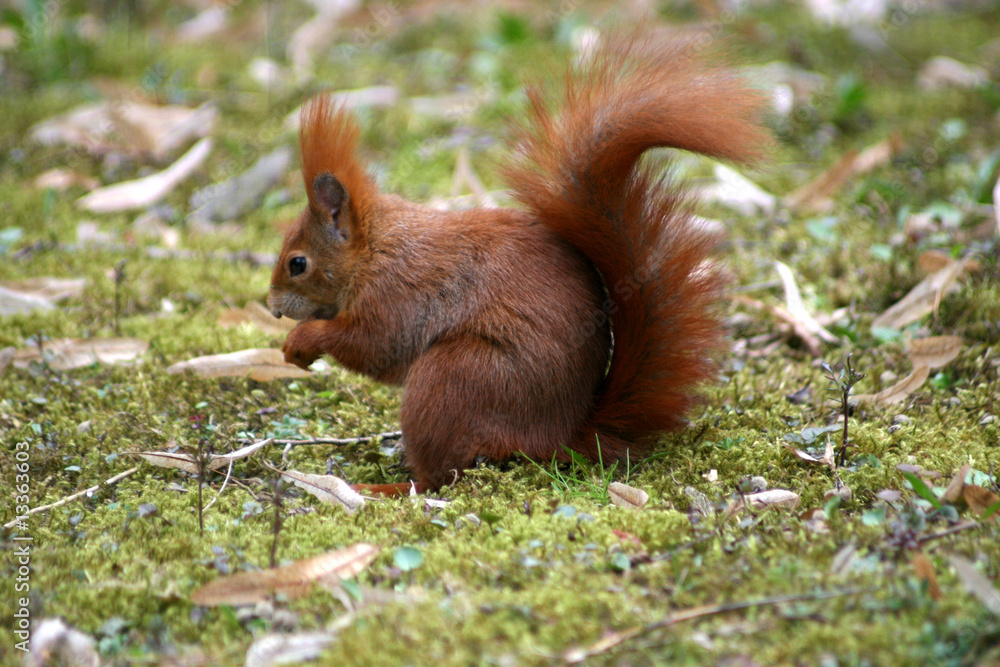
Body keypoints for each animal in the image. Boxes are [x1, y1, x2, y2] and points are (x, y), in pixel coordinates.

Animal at [268, 34, 768, 495]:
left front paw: (302, 341)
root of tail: (560, 434)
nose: (272, 307)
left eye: (297, 263)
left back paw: (384, 489)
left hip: (454, 377)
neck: (374, 251)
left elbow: (375, 345)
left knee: (441, 476)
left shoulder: (397, 292)